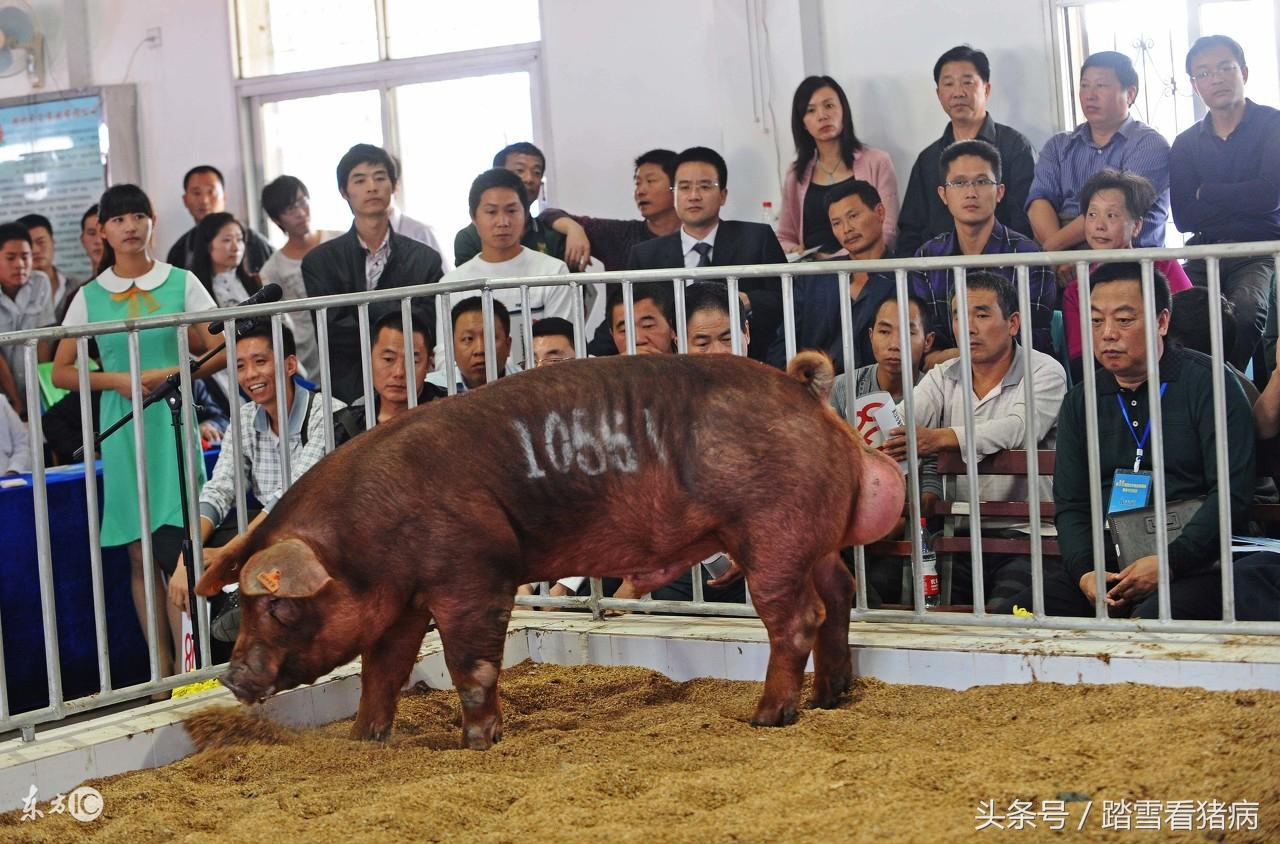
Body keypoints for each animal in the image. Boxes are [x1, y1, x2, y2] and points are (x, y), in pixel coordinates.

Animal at [194, 353, 906, 747]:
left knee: (799, 617)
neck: (365, 539)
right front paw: (364, 740)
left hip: (771, 529)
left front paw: (477, 744)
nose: (231, 676)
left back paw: (766, 717)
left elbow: (471, 664)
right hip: (813, 536)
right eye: (246, 606)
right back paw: (830, 697)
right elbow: (382, 672)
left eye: (279, 607)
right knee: (839, 594)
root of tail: (804, 392)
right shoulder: (402, 603)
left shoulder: (474, 570)